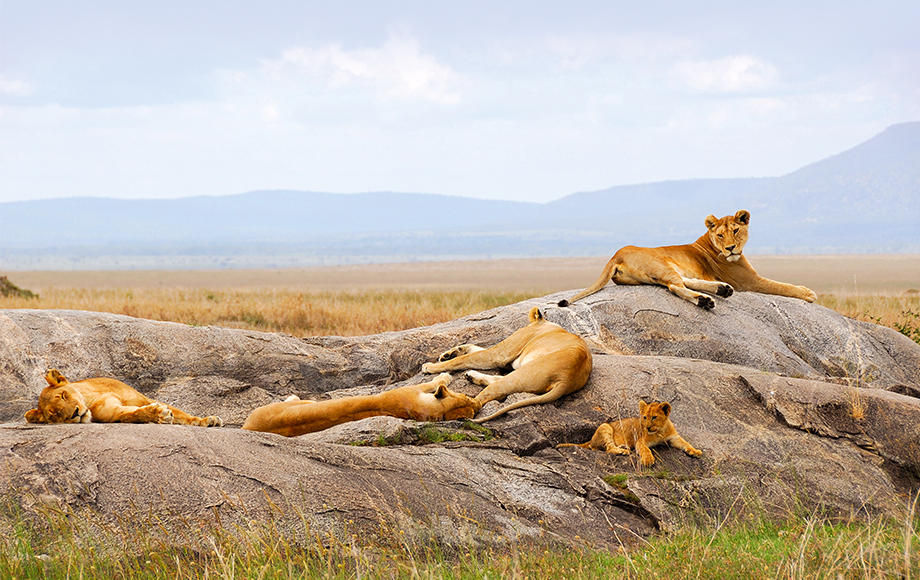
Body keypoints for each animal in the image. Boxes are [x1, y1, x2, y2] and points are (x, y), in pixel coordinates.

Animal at [23, 370, 225, 428]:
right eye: (55, 414)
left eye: (64, 395)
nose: (75, 414)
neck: (91, 397)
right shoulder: (114, 413)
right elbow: (134, 414)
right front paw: (158, 414)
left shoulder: (143, 398)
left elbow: (182, 414)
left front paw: (207, 420)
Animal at [241, 374, 486, 438]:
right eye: (466, 395)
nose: (479, 402)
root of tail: (246, 427)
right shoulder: (410, 390)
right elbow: (434, 382)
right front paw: (445, 375)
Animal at [420, 306, 592, 424]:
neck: (545, 324)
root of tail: (567, 379)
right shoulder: (506, 360)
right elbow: (472, 348)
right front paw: (450, 352)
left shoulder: (500, 354)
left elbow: (464, 358)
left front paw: (430, 367)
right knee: (497, 382)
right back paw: (471, 376)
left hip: (521, 374)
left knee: (480, 401)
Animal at [556, 208, 816, 308]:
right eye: (720, 235)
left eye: (735, 230)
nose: (730, 248)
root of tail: (615, 255)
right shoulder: (749, 281)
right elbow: (781, 286)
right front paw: (808, 293)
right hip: (661, 265)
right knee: (675, 286)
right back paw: (706, 300)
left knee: (682, 282)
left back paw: (721, 290)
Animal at [556, 398, 700, 466]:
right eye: (644, 417)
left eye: (654, 417)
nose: (647, 427)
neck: (660, 431)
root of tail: (590, 439)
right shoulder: (640, 441)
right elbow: (646, 450)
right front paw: (648, 460)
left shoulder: (674, 438)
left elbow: (686, 443)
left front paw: (695, 451)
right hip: (605, 426)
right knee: (607, 449)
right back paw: (622, 451)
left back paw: (623, 447)